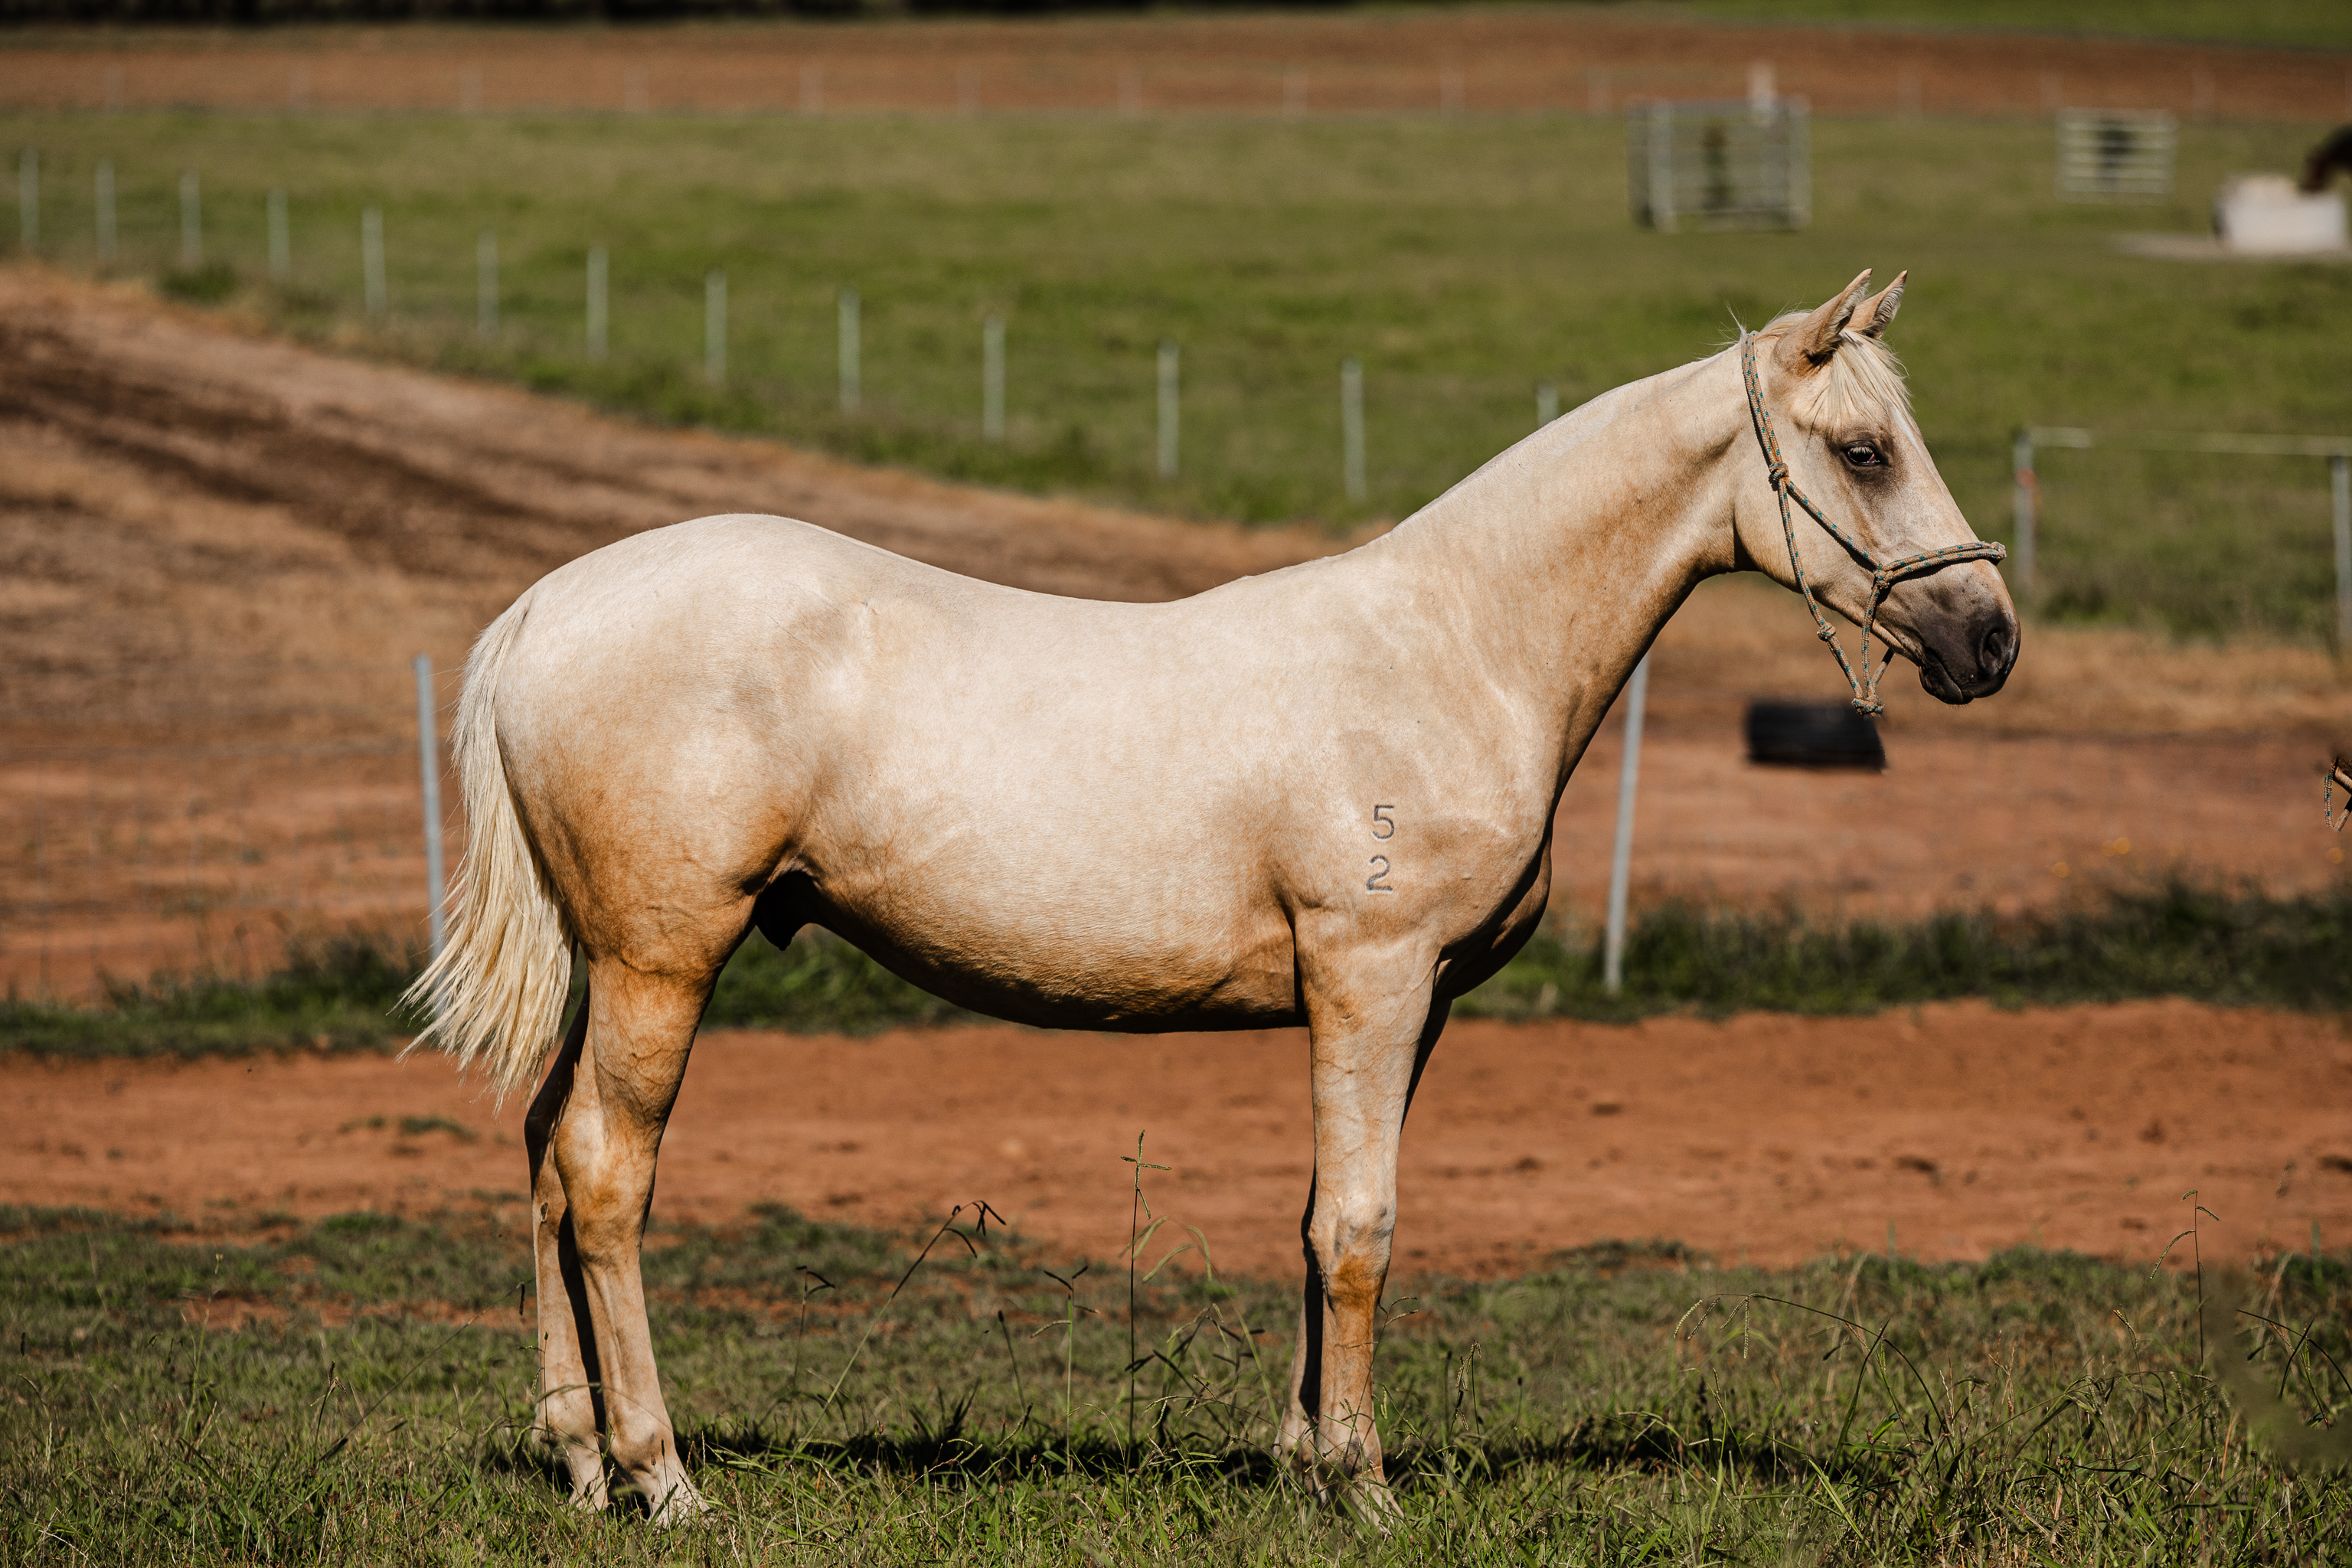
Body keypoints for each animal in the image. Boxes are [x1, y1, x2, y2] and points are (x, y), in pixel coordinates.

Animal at [407, 270, 2018, 1520]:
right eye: (1864, 449)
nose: (1989, 636)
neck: (1453, 645)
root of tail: (547, 604)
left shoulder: (1405, 1006)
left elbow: (1317, 1219)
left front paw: (1302, 1462)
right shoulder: (1371, 980)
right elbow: (1360, 1226)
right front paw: (1362, 1484)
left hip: (610, 968)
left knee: (546, 1149)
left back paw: (581, 1465)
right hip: (663, 960)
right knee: (606, 1173)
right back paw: (663, 1474)